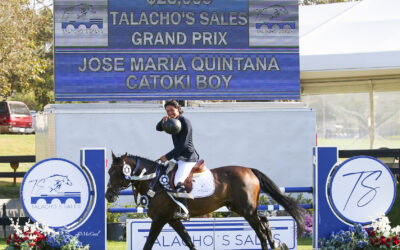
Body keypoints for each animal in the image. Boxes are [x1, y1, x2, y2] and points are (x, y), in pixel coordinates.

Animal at [104, 152, 304, 250]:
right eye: (109, 172)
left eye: (116, 172)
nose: (108, 196)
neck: (154, 181)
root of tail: (249, 170)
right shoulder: (173, 219)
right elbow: (189, 241)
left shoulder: (160, 220)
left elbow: (148, 244)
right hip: (240, 208)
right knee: (264, 220)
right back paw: (277, 244)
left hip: (246, 210)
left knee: (261, 230)